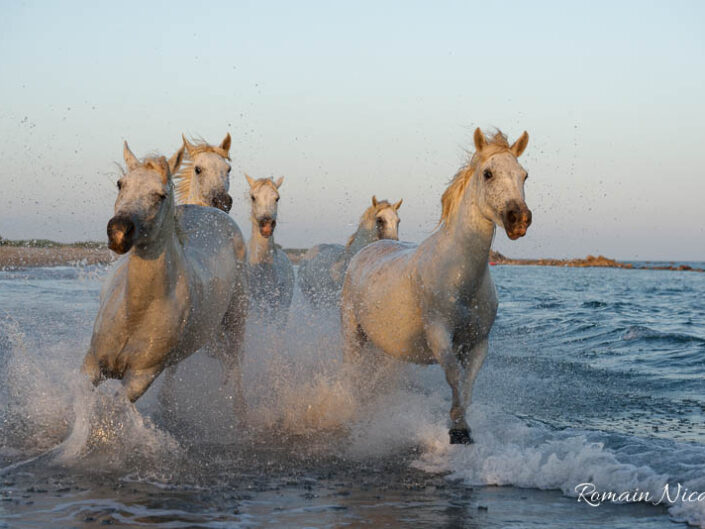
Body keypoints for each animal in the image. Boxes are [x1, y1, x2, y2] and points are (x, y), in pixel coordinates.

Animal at [80, 140, 248, 404]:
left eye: (161, 195)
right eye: (120, 184)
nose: (118, 231)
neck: (135, 313)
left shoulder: (139, 379)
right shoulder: (92, 364)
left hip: (236, 318)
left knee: (235, 361)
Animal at [340, 130, 528, 444]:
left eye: (524, 175)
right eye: (488, 173)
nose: (519, 220)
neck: (460, 278)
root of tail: (365, 252)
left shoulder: (478, 343)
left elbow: (467, 384)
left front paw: (463, 427)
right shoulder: (439, 335)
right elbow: (453, 374)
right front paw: (457, 430)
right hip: (353, 332)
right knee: (352, 371)